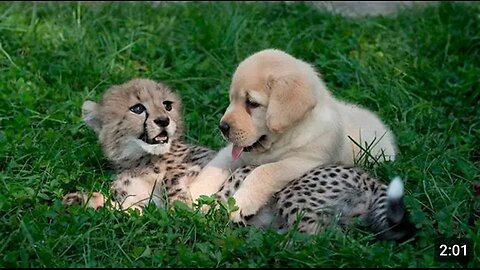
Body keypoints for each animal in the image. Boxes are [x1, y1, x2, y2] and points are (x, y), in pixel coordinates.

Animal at [189, 48, 396, 221]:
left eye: (252, 103)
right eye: (231, 99)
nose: (222, 127)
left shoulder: (304, 161)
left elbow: (264, 171)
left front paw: (241, 202)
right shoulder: (236, 152)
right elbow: (214, 166)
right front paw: (194, 194)